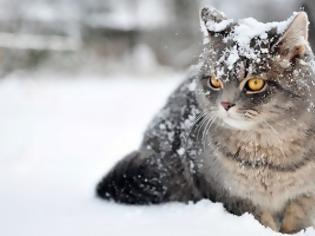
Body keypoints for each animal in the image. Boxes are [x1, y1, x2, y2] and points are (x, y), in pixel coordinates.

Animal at [95, 7, 315, 234]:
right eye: (215, 81)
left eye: (255, 83)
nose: (226, 104)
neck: (267, 155)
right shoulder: (232, 194)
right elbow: (261, 220)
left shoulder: (305, 196)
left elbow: (297, 220)